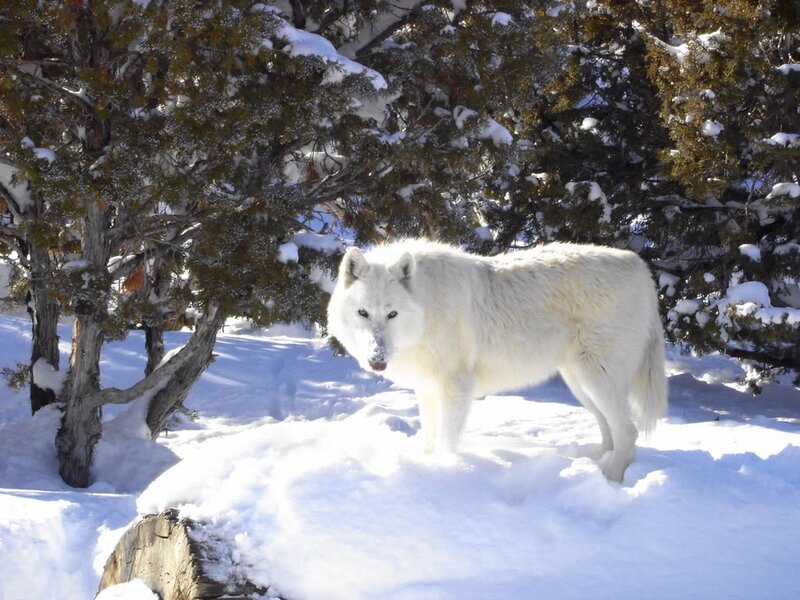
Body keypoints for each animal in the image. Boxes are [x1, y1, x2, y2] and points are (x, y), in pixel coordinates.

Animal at [327, 240, 667, 481]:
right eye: (363, 313)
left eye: (392, 314)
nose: (377, 358)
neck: (427, 308)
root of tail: (640, 267)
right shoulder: (426, 389)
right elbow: (429, 438)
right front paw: (424, 463)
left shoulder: (456, 387)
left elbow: (447, 440)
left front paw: (444, 472)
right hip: (580, 383)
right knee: (609, 430)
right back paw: (592, 465)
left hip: (596, 378)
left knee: (628, 432)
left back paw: (608, 480)